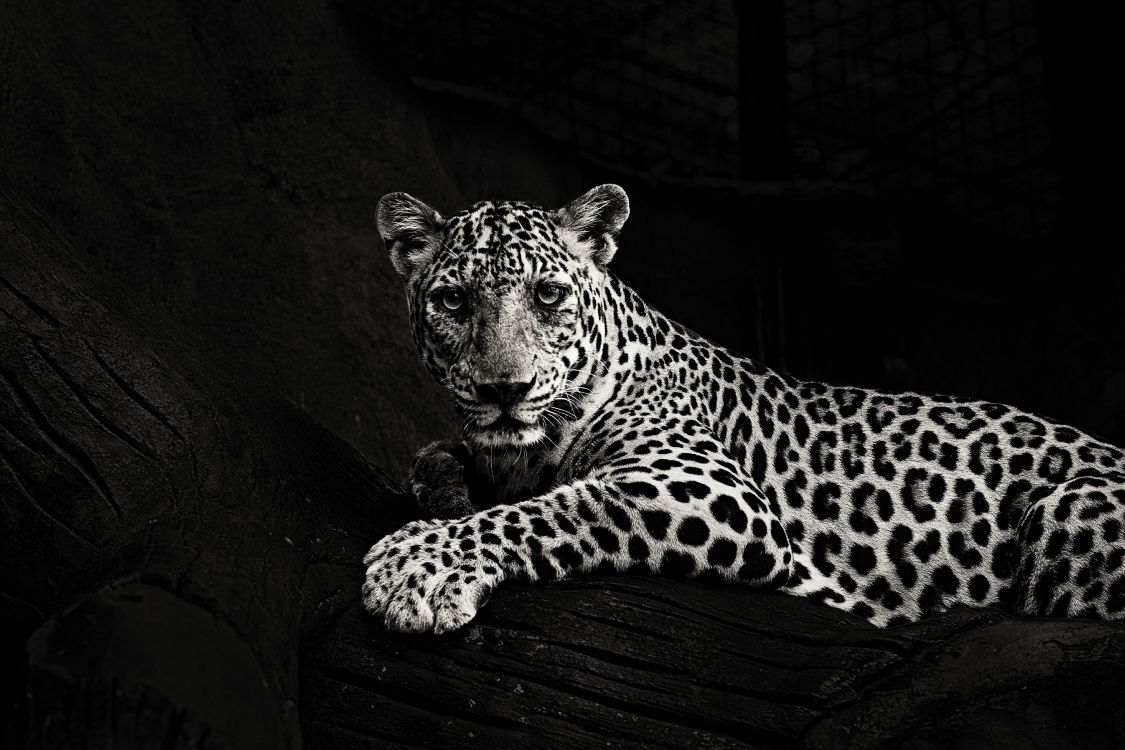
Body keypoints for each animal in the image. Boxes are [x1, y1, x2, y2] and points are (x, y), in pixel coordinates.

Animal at [362, 184, 1125, 634]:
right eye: (453, 301)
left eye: (547, 296)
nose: (504, 388)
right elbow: (435, 460)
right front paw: (447, 497)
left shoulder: (705, 488)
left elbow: (558, 508)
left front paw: (416, 565)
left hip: (1067, 511)